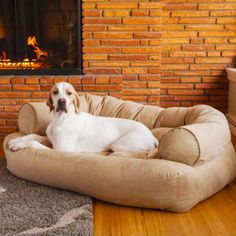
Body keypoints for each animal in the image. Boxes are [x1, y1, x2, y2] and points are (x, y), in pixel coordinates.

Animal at [8, 82, 159, 153]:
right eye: (55, 92)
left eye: (69, 93)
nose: (61, 101)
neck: (61, 119)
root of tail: (152, 135)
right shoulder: (50, 140)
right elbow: (33, 135)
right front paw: (16, 140)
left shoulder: (61, 150)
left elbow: (33, 142)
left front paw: (17, 145)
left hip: (119, 145)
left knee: (148, 151)